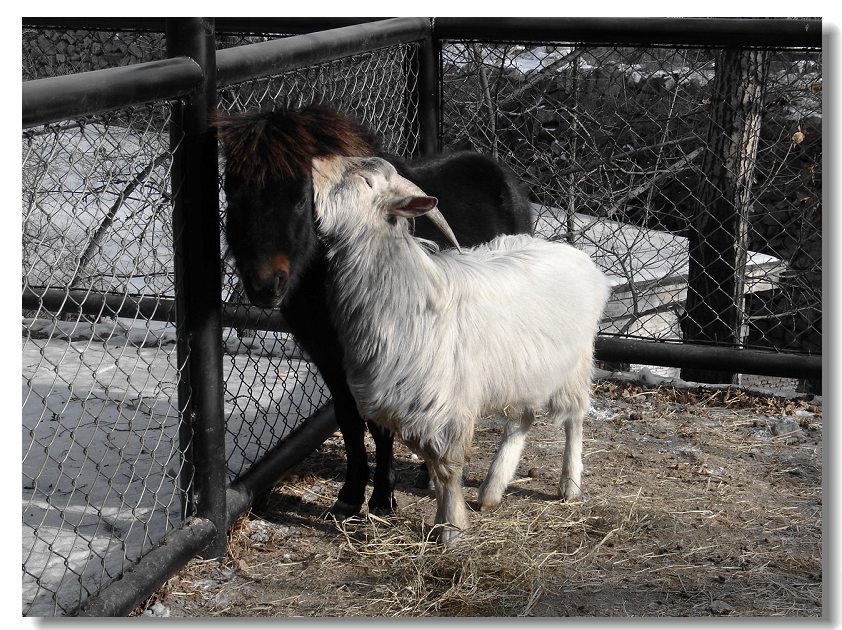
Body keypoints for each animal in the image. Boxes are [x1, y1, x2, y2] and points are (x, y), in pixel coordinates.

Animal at [217, 105, 532, 520]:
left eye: (300, 200)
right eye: (233, 196)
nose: (266, 285)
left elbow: (380, 424)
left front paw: (382, 497)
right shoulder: (328, 356)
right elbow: (349, 420)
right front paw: (350, 494)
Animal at [312, 156, 608, 544]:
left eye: (365, 181)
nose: (313, 165)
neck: (408, 293)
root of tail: (575, 254)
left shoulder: (446, 403)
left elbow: (448, 466)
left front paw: (451, 527)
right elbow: (433, 463)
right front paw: (445, 519)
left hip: (573, 363)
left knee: (574, 418)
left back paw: (569, 485)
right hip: (523, 372)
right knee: (522, 419)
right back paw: (492, 490)